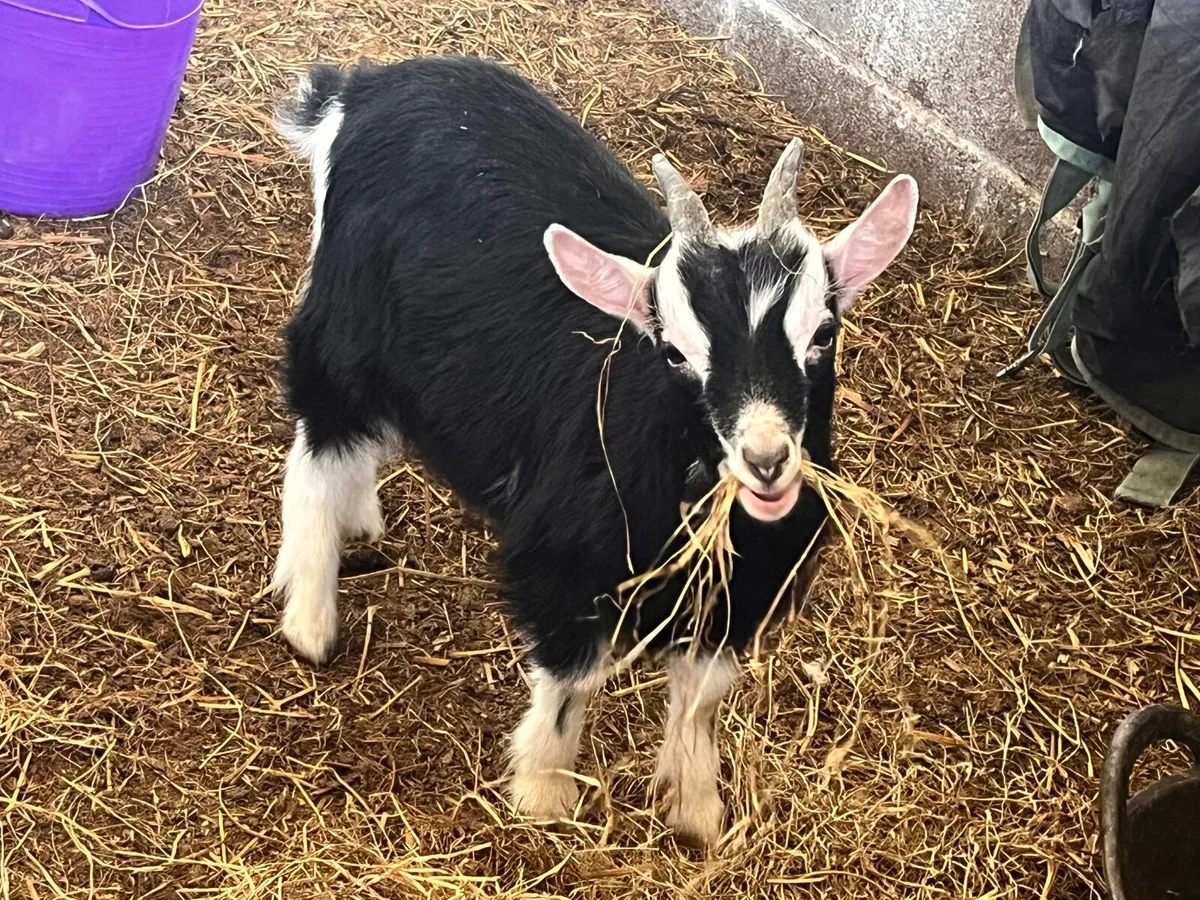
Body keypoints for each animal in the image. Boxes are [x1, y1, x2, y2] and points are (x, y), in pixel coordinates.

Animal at [272, 55, 917, 847]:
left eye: (823, 333)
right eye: (673, 353)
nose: (766, 461)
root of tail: (363, 88)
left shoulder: (741, 593)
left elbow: (703, 697)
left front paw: (696, 813)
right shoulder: (563, 568)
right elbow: (571, 682)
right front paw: (543, 793)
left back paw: (359, 520)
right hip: (346, 326)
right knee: (320, 438)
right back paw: (310, 615)